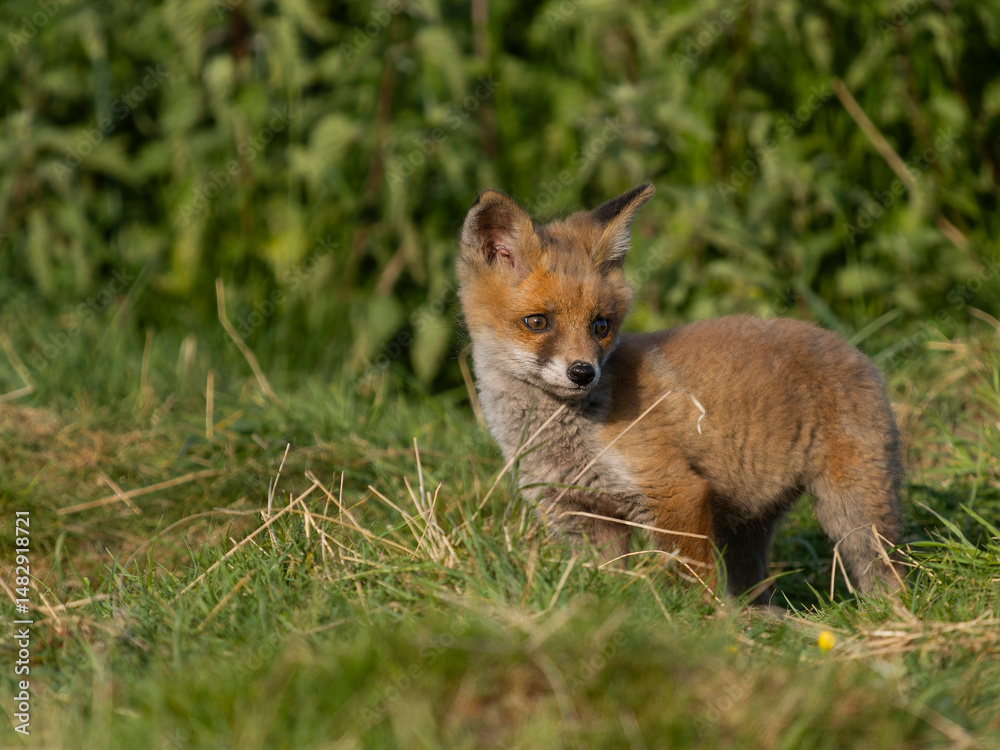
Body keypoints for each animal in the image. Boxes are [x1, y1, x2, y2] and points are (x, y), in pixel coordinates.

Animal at [457, 183, 905, 602]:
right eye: (537, 322)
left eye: (600, 325)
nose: (583, 373)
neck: (565, 441)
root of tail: (851, 346)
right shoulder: (579, 513)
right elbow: (605, 584)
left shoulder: (674, 491)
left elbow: (693, 580)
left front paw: (699, 622)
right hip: (746, 523)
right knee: (755, 582)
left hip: (852, 511)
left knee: (886, 569)